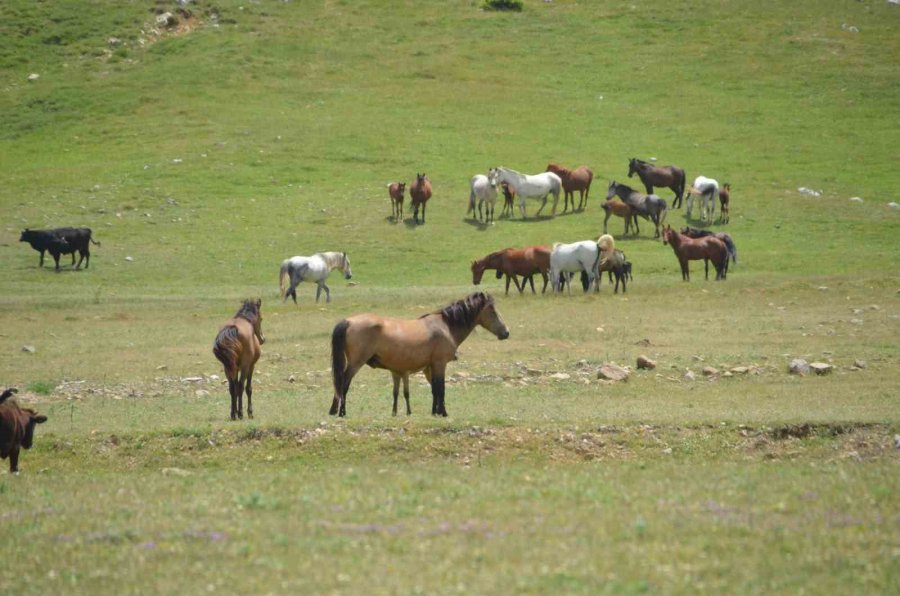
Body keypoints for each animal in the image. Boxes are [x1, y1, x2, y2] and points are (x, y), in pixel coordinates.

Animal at [328, 292, 510, 416]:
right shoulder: (439, 364)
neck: (446, 326)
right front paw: (443, 413)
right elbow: (441, 388)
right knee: (343, 384)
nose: (506, 332)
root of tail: (348, 321)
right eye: (492, 310)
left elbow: (435, 389)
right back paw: (342, 412)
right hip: (355, 363)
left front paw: (435, 412)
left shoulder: (430, 366)